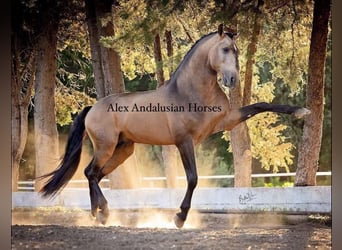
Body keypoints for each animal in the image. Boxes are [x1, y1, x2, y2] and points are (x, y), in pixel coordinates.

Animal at [38, 24, 310, 229]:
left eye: (237, 51)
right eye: (224, 49)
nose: (231, 80)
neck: (193, 92)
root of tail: (92, 108)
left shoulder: (227, 121)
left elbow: (261, 105)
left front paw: (301, 111)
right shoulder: (184, 141)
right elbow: (192, 178)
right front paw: (179, 218)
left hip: (123, 149)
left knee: (94, 174)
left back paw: (99, 213)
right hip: (106, 146)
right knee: (90, 172)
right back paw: (102, 213)